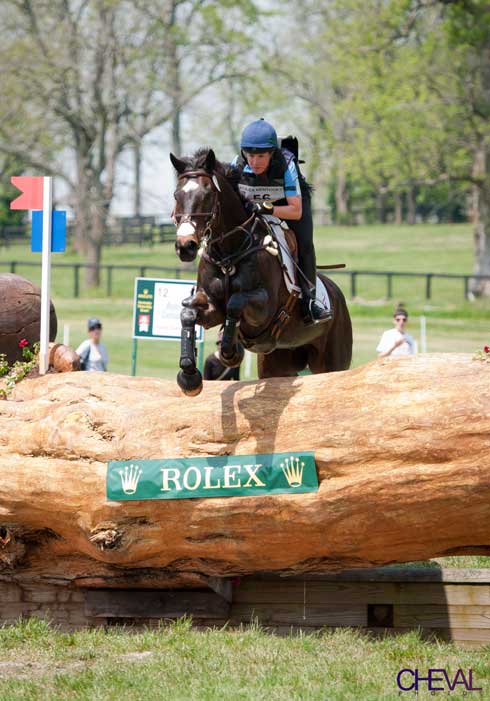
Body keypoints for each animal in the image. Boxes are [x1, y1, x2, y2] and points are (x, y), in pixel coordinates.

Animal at [169, 147, 352, 394]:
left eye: (207, 195)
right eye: (176, 196)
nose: (185, 246)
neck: (229, 254)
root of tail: (337, 293)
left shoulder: (264, 309)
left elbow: (235, 303)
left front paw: (231, 351)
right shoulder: (211, 305)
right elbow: (188, 314)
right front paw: (189, 377)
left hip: (332, 360)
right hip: (278, 363)